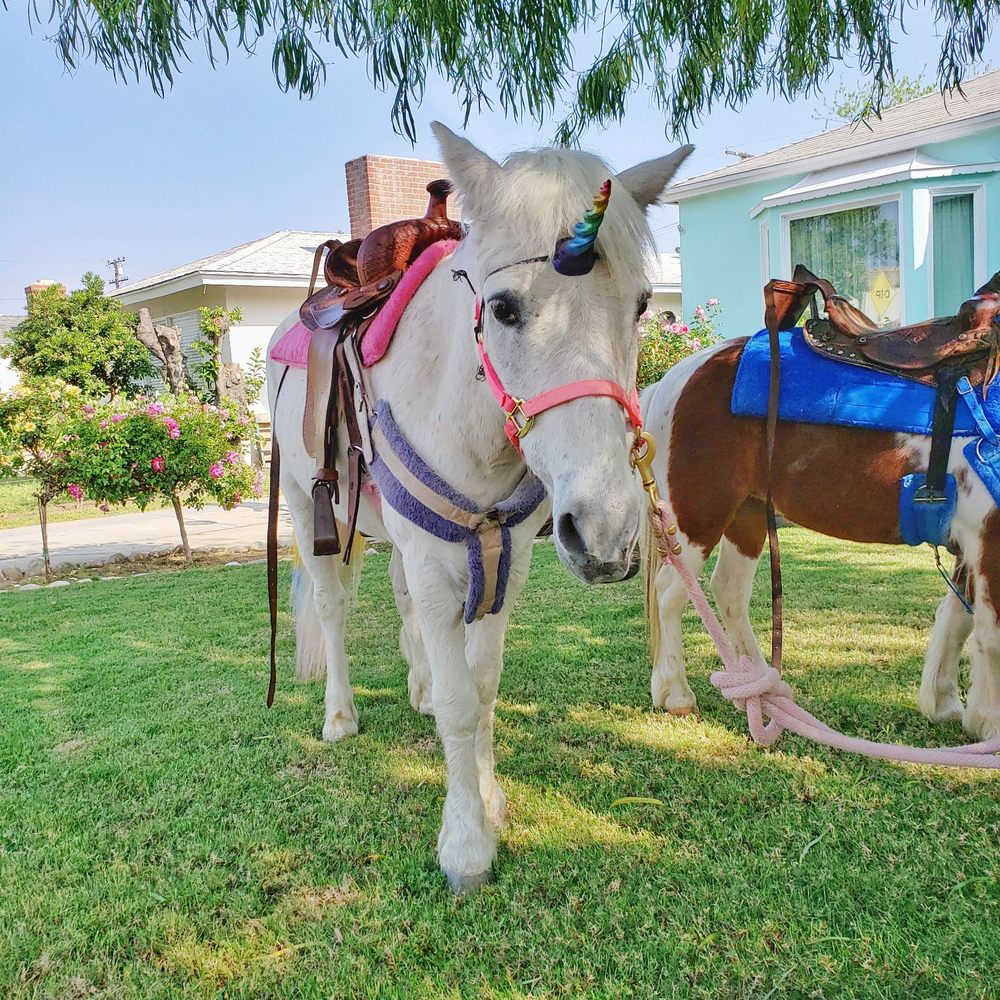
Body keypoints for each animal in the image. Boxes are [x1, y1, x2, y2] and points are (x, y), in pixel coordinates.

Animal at [267, 123, 693, 891]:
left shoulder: (506, 559)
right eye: (503, 309)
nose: (607, 533)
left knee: (399, 597)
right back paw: (341, 715)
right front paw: (466, 845)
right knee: (335, 610)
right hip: (308, 509)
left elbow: (484, 687)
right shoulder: (440, 571)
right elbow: (462, 706)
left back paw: (417, 685)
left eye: (643, 305)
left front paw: (489, 799)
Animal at [639, 338, 1000, 741]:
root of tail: (675, 378)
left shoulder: (970, 545)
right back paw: (676, 693)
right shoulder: (989, 536)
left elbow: (958, 618)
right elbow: (991, 633)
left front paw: (943, 703)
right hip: (700, 517)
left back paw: (758, 691)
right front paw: (988, 722)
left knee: (728, 590)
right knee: (670, 593)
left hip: (748, 514)